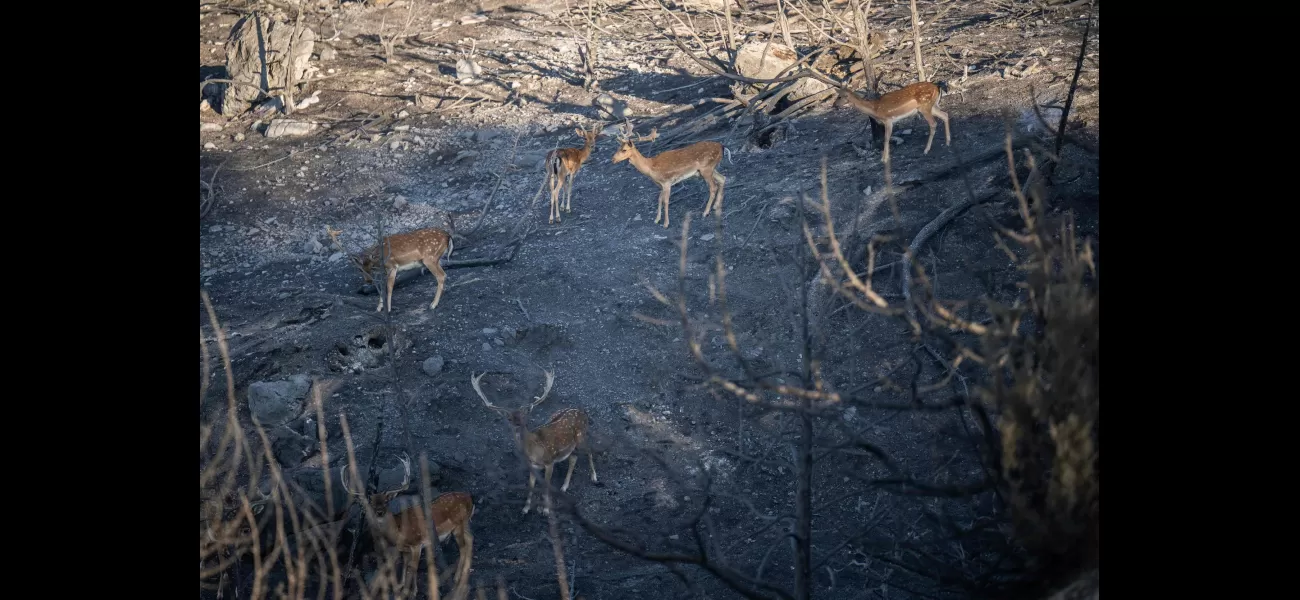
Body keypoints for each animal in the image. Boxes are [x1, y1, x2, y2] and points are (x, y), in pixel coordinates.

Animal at [338, 454, 475, 594]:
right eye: (372, 503)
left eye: (386, 501)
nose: (379, 512)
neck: (399, 532)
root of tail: (470, 498)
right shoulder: (404, 549)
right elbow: (405, 565)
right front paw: (401, 586)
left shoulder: (417, 544)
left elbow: (412, 568)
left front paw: (412, 591)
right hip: (464, 524)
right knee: (470, 539)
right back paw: (465, 572)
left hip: (459, 525)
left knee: (463, 547)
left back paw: (457, 578)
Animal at [473, 368, 598, 514]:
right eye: (509, 419)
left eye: (524, 416)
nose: (518, 426)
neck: (533, 451)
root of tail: (583, 411)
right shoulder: (532, 466)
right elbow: (531, 485)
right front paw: (525, 509)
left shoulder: (550, 462)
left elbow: (546, 485)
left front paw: (546, 510)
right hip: (572, 444)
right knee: (573, 458)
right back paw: (564, 487)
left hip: (581, 436)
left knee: (589, 450)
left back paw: (594, 477)